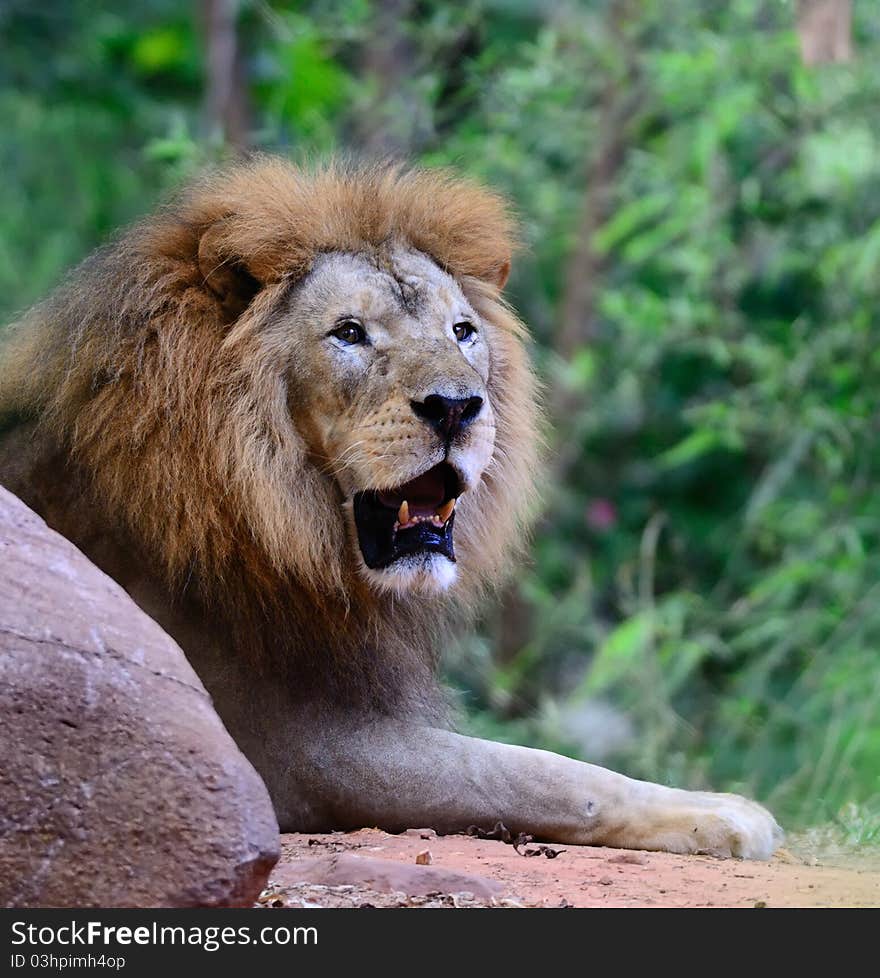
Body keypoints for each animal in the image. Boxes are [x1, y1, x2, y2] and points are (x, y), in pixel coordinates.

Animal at [0, 158, 780, 856]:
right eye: (349, 332)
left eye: (462, 332)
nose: (457, 407)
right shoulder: (292, 751)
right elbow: (542, 774)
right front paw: (726, 814)